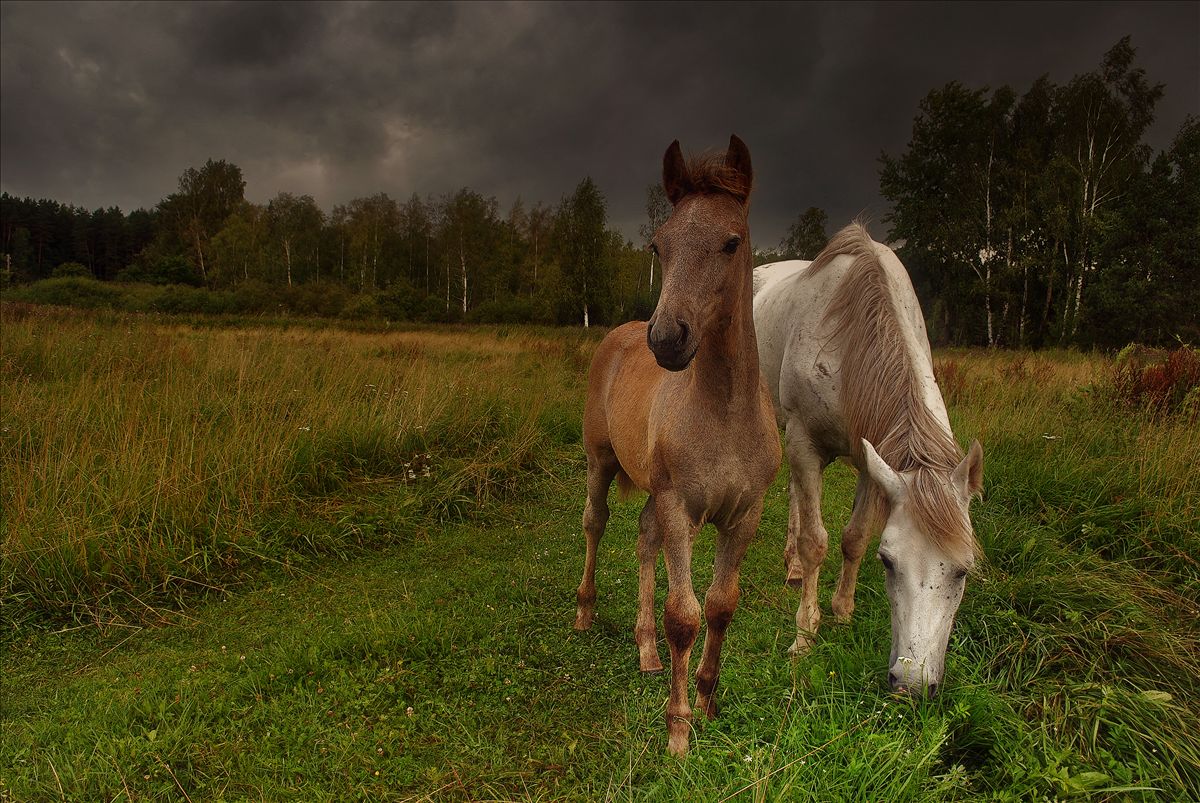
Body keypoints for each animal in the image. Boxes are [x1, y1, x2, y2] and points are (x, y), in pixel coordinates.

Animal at [573, 134, 782, 753]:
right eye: (658, 246)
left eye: (731, 241)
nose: (666, 339)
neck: (724, 414)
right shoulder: (680, 507)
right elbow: (683, 615)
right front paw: (678, 729)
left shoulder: (745, 513)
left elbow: (720, 606)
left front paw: (708, 700)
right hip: (600, 462)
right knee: (596, 523)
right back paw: (585, 612)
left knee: (643, 537)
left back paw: (645, 651)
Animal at [748, 222, 984, 691]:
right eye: (889, 562)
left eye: (964, 570)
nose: (911, 684)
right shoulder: (805, 442)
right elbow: (816, 541)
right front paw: (804, 633)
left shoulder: (868, 458)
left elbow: (853, 537)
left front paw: (841, 611)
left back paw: (793, 567)